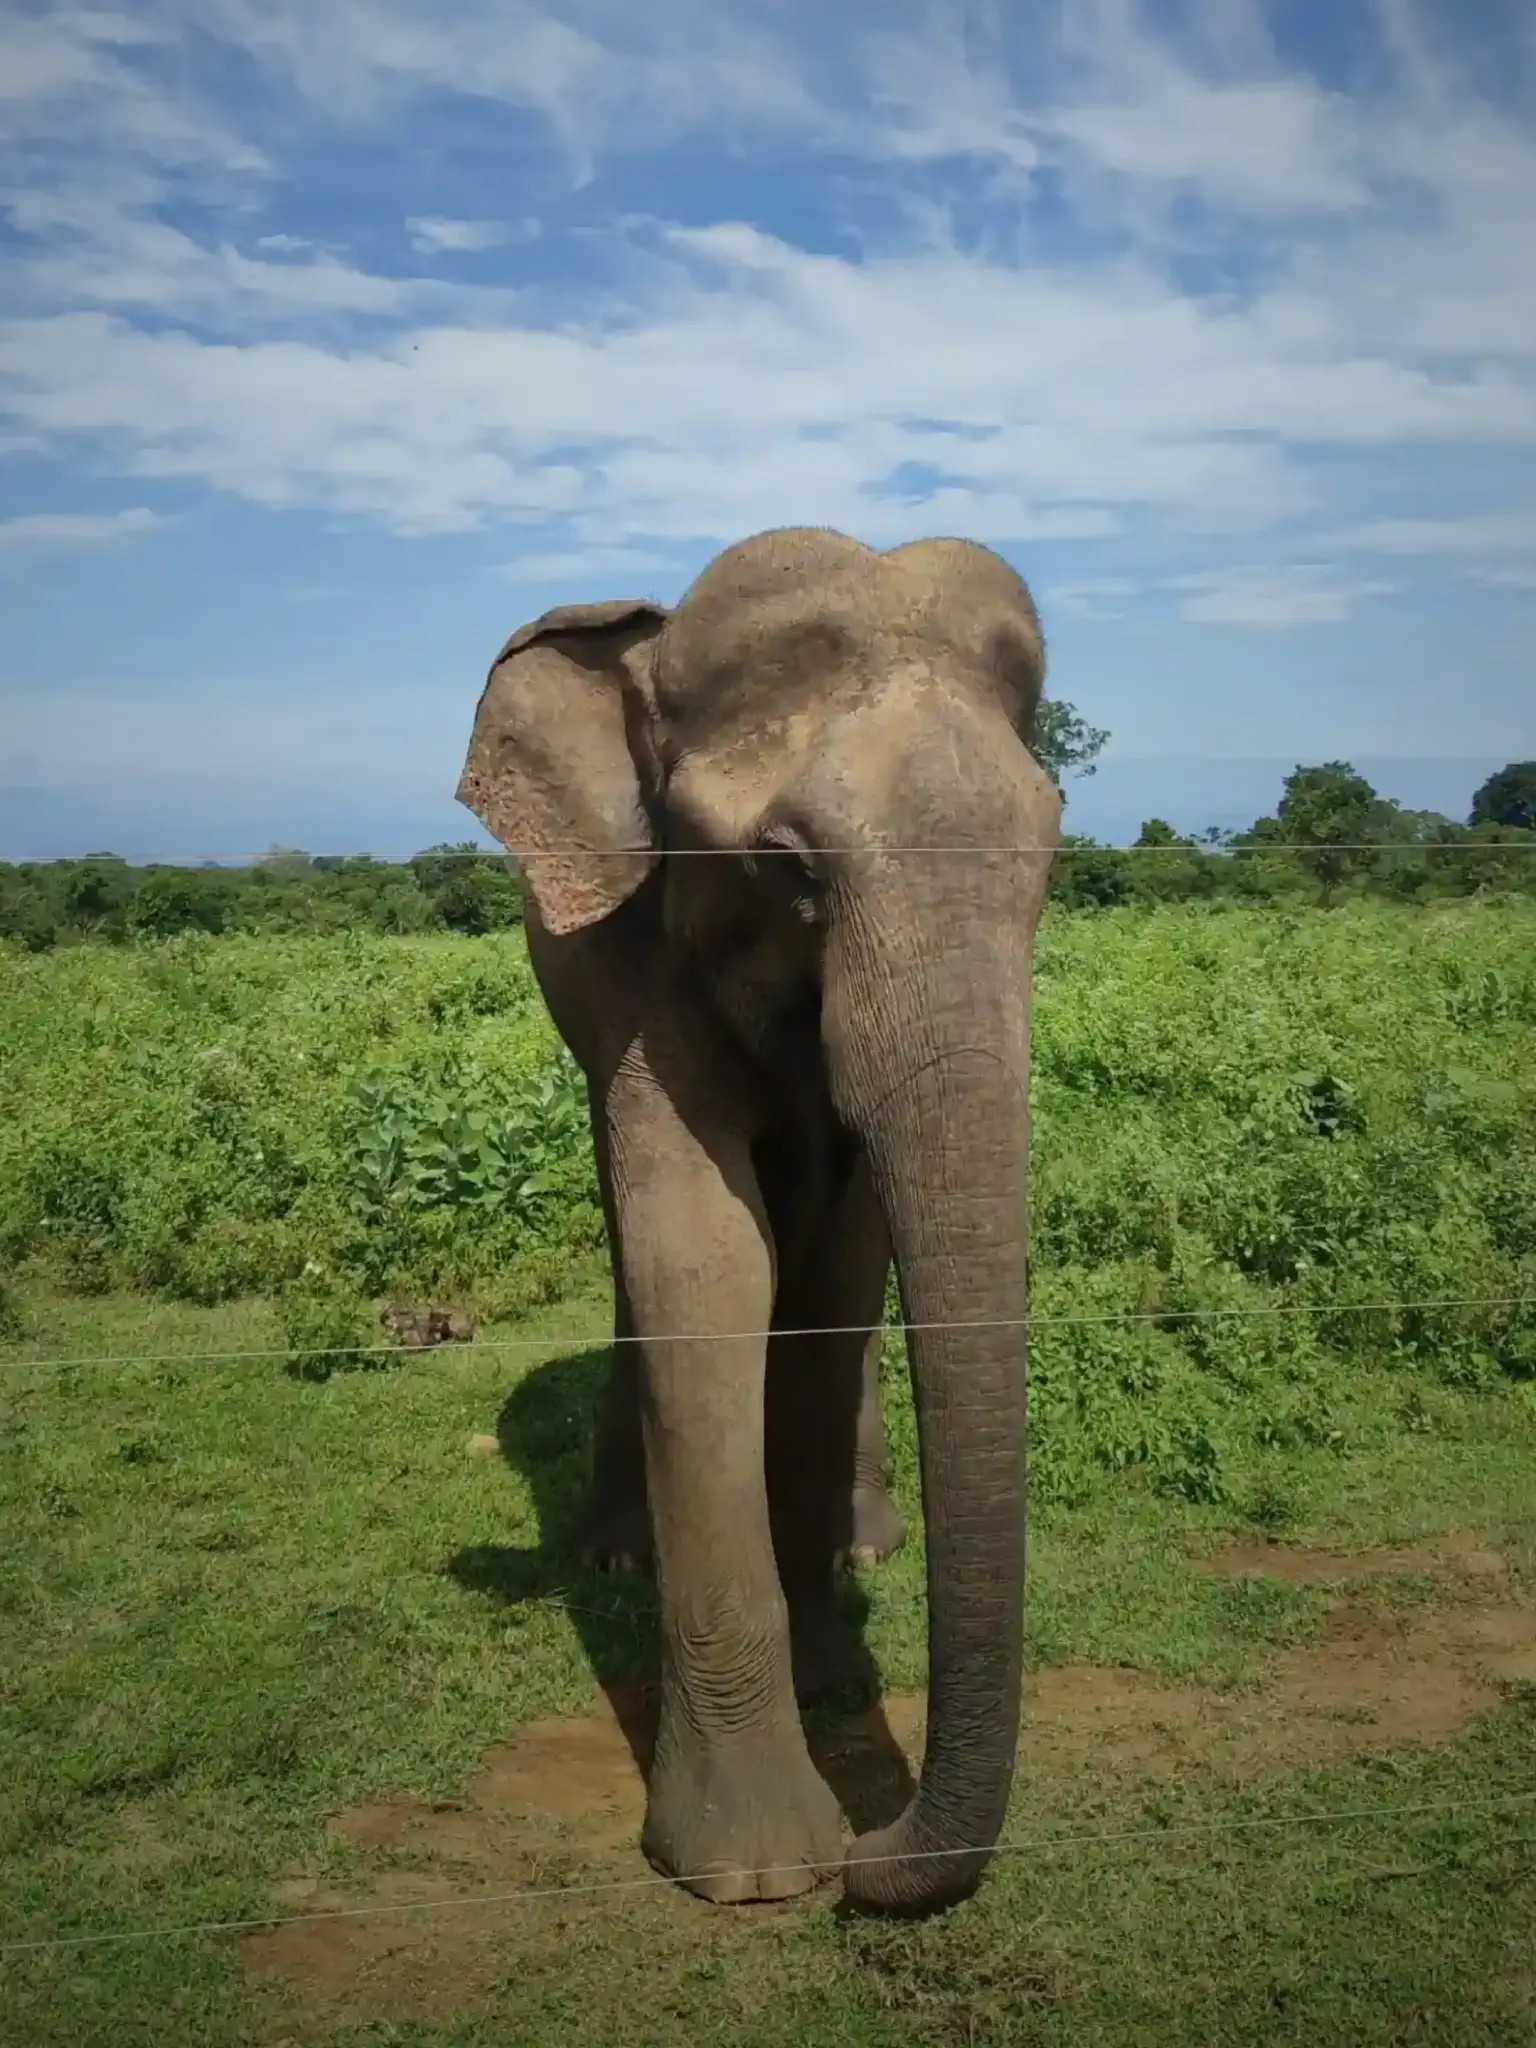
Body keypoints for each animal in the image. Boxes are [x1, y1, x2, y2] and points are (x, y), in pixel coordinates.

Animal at [456, 526, 1060, 1915]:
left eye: (1051, 856)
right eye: (790, 868)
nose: (872, 1856)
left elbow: (837, 1259)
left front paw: (838, 1672)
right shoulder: (631, 949)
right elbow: (706, 1253)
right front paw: (757, 1867)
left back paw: (871, 1543)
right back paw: (617, 1556)